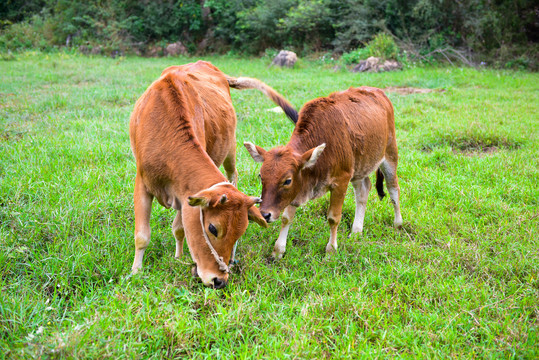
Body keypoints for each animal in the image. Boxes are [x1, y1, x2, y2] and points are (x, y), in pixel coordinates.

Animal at [131, 61, 300, 286]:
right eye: (212, 228)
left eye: (240, 232)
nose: (220, 280)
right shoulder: (143, 183)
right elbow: (142, 236)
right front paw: (136, 271)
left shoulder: (183, 194)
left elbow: (179, 228)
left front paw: (178, 257)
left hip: (230, 148)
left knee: (233, 174)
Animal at [244, 86, 400, 258]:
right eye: (261, 176)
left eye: (287, 180)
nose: (265, 214)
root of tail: (379, 92)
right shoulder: (299, 188)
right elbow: (286, 218)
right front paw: (278, 250)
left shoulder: (341, 180)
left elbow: (333, 218)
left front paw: (331, 251)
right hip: (359, 167)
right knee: (363, 191)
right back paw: (356, 231)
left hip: (390, 155)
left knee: (393, 189)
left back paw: (398, 224)